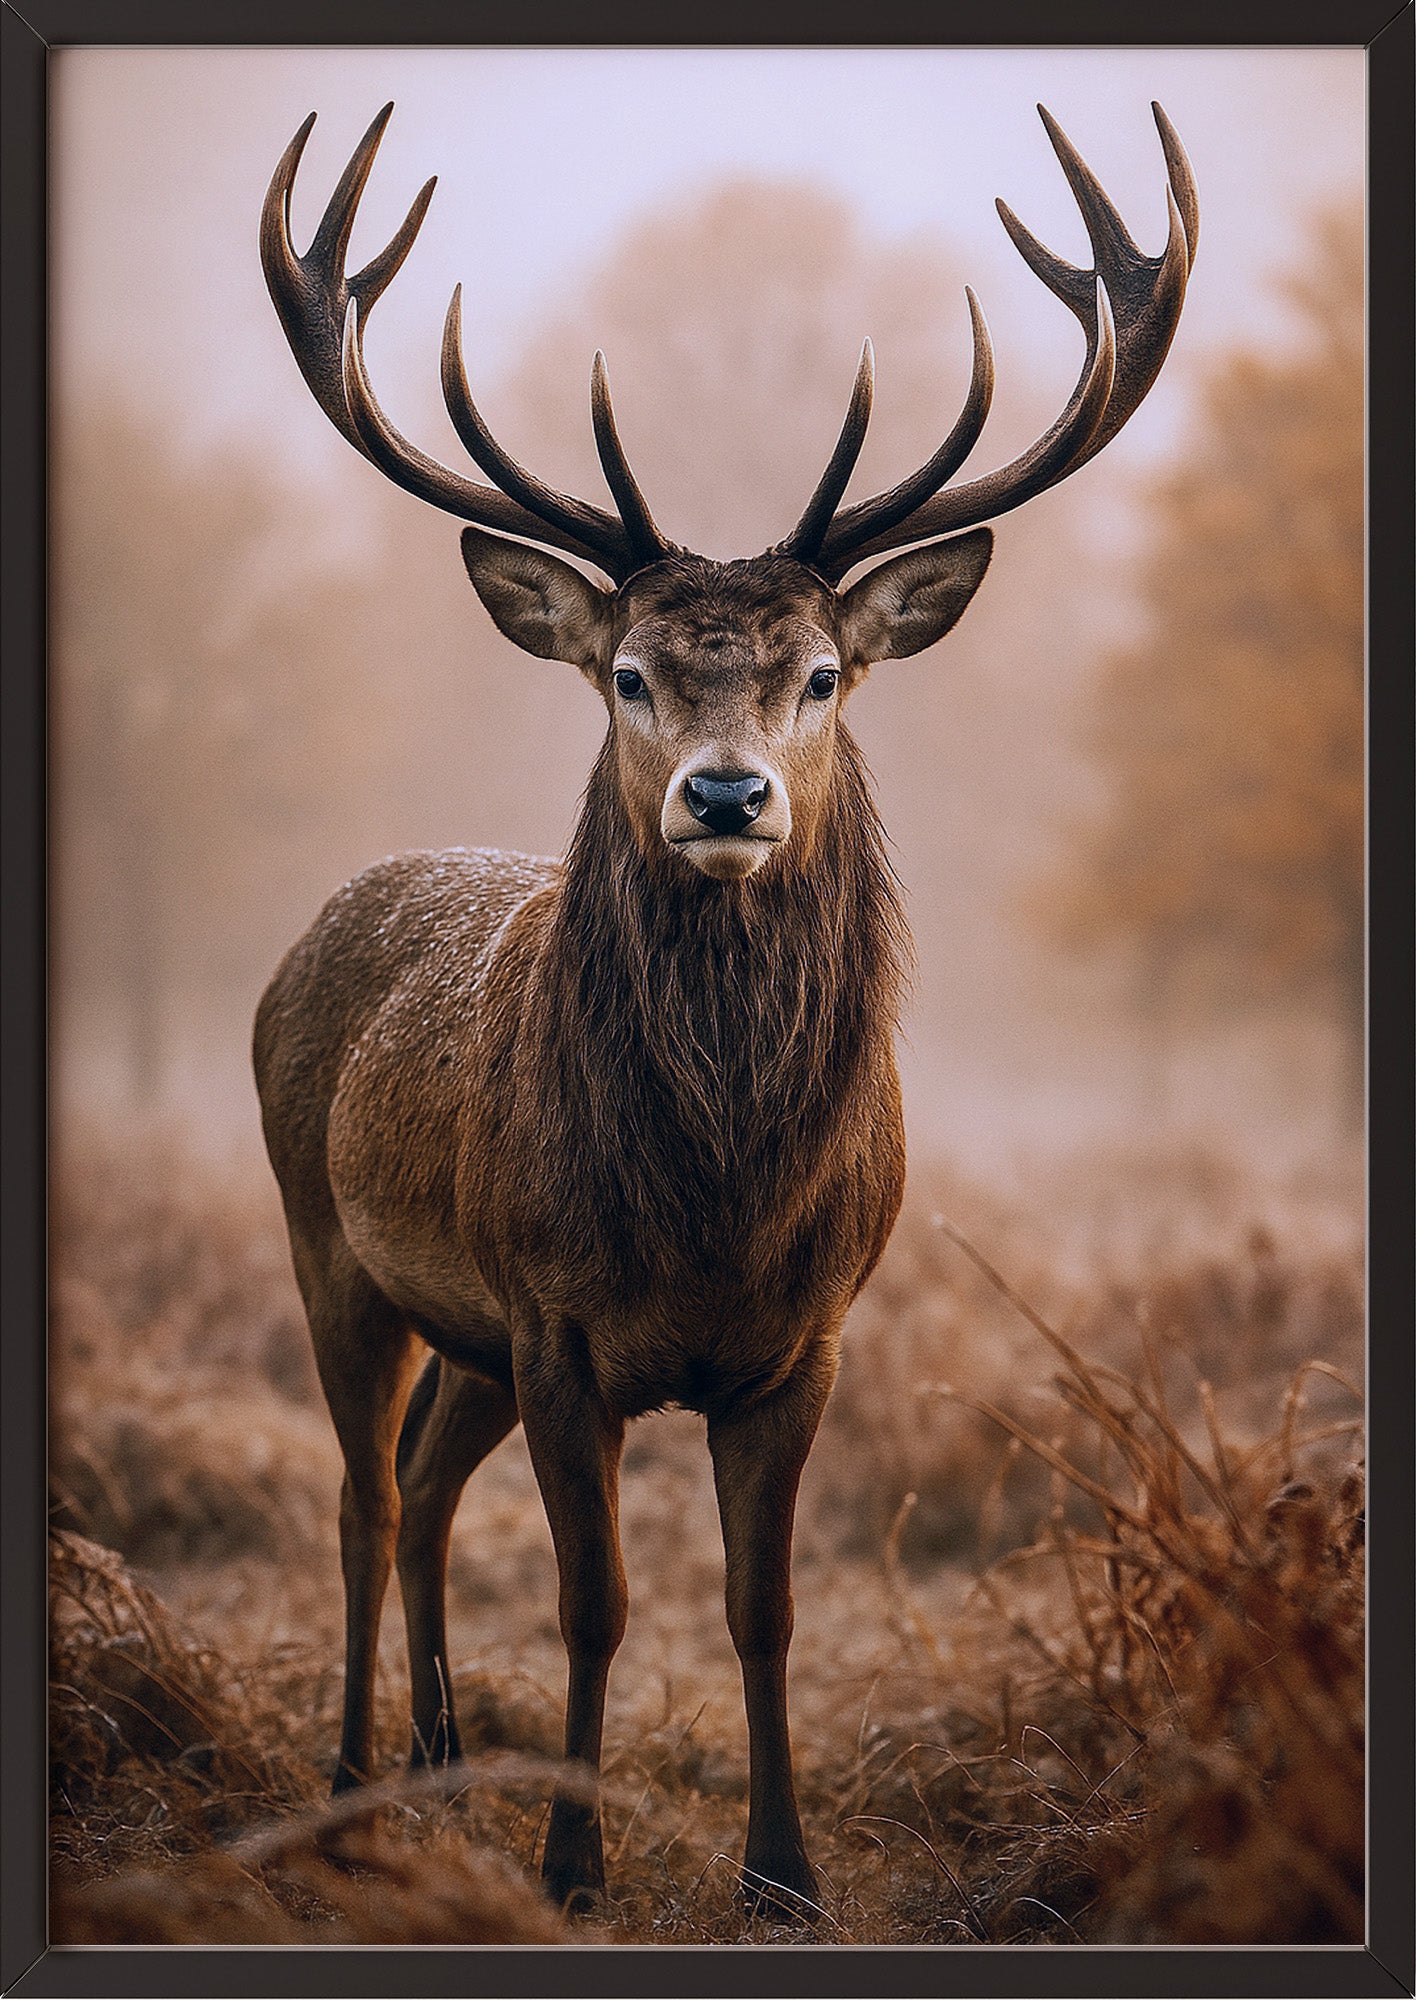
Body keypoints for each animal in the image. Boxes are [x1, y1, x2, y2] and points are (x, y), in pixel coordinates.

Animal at [253, 100, 1197, 1918]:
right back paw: (346, 1786)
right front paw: (570, 1862)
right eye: (627, 675)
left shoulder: (803, 1339)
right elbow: (597, 1604)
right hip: (335, 1247)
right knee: (361, 1497)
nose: (727, 794)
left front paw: (785, 1873)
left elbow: (763, 1610)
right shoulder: (558, 1322)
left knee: (423, 1481)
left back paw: (438, 1760)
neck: (715, 1206)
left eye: (820, 675)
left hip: (467, 1328)